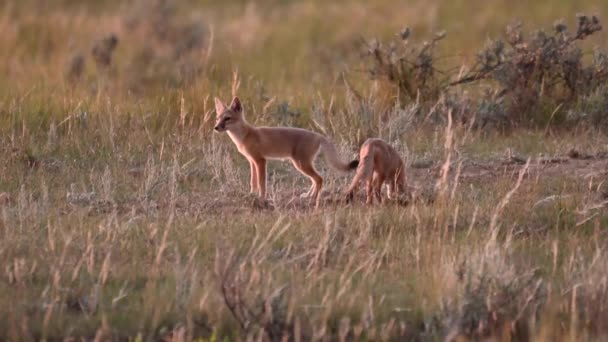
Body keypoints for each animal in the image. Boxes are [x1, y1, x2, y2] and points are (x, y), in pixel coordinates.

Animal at [214, 97, 358, 207]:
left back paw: (313, 199)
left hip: (300, 164)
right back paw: (308, 195)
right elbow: (253, 182)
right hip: (302, 164)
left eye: (227, 118)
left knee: (319, 178)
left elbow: (261, 183)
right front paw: (252, 195)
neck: (246, 135)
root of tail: (318, 135)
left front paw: (261, 199)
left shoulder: (260, 161)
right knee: (315, 179)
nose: (215, 127)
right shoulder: (252, 161)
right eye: (217, 118)